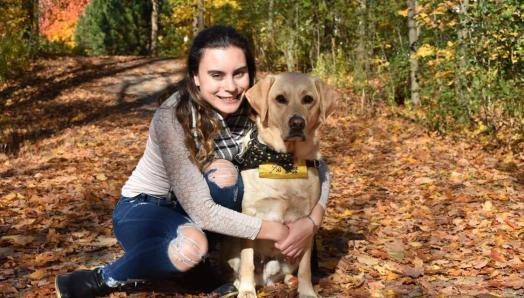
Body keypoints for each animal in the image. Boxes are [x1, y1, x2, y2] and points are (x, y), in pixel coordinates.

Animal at [228, 73, 340, 298]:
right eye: (280, 99)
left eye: (308, 99)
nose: (297, 122)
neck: (284, 162)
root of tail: (267, 279)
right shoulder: (250, 215)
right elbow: (247, 260)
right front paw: (247, 290)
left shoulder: (305, 224)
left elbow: (305, 267)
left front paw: (306, 291)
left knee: (289, 271)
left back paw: (290, 280)